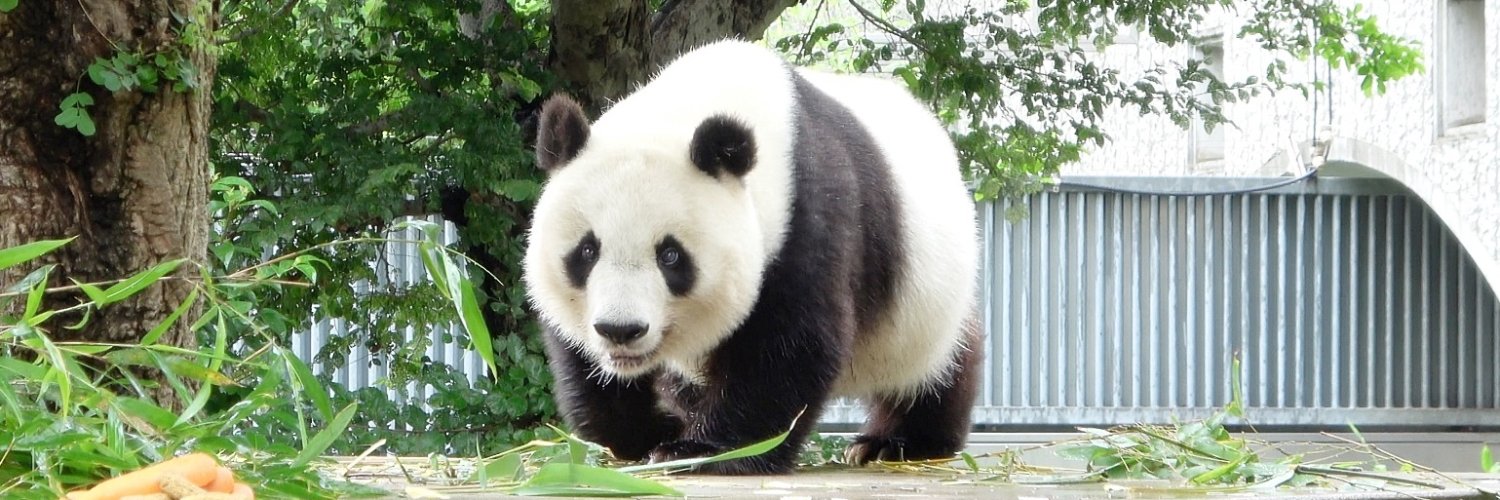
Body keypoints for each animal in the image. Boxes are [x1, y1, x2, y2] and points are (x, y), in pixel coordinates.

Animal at [523, 39, 981, 475]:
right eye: (587, 250)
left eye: (671, 256)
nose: (621, 330)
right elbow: (585, 363)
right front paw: (653, 432)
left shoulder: (807, 217)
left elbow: (787, 348)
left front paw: (705, 450)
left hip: (928, 299)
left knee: (935, 367)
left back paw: (896, 443)